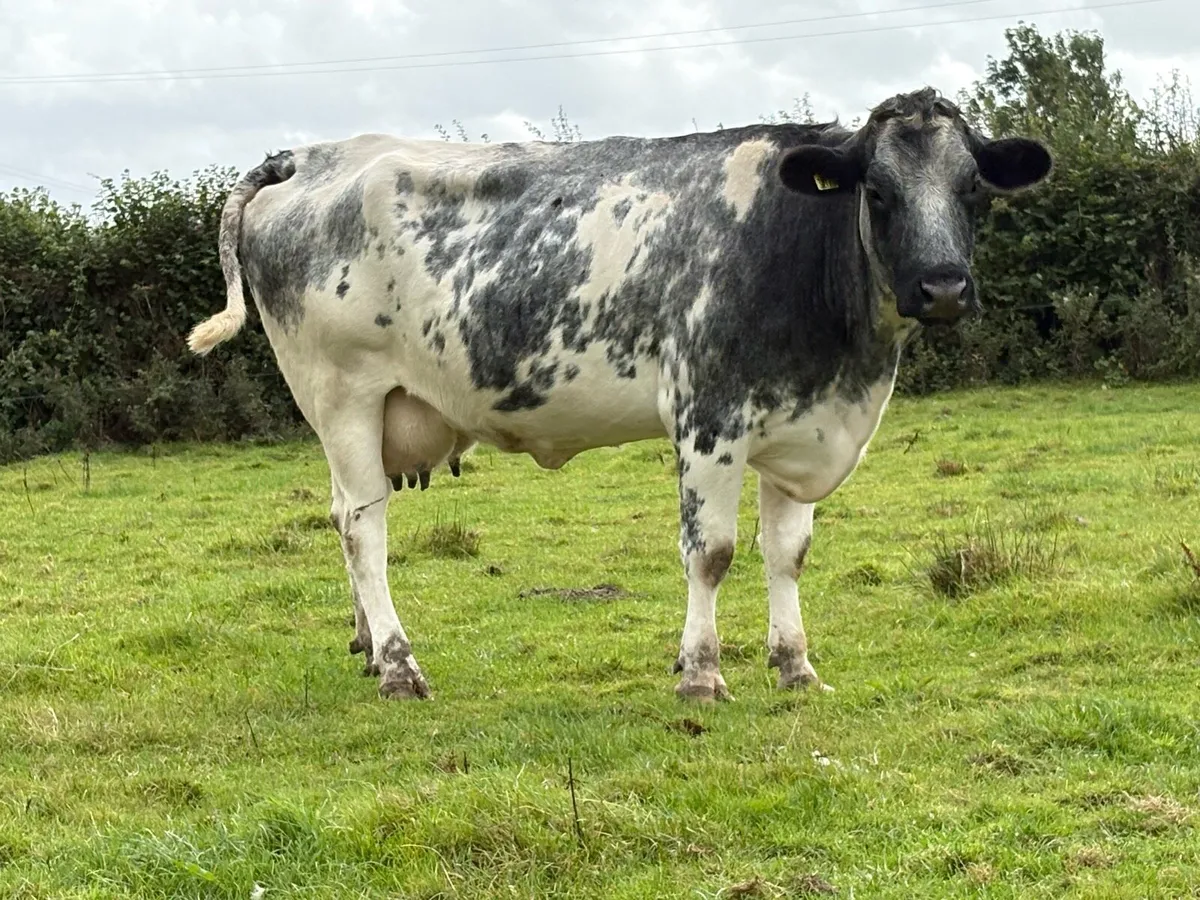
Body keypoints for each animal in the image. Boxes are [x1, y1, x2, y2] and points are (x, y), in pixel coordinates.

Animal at [186, 87, 1051, 703]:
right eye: (876, 190)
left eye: (973, 190)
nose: (943, 287)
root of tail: (309, 155)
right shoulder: (709, 416)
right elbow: (713, 551)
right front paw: (701, 673)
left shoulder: (799, 423)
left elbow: (787, 553)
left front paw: (796, 667)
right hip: (341, 395)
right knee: (365, 532)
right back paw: (401, 666)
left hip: (349, 420)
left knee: (341, 517)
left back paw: (368, 648)